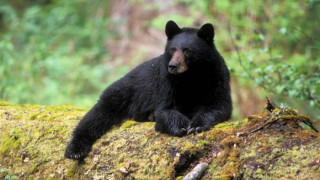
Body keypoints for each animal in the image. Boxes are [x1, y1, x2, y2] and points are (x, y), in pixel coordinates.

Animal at [65, 20, 231, 160]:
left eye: (187, 50)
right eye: (172, 49)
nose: (173, 66)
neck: (191, 77)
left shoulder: (217, 77)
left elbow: (218, 106)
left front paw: (197, 125)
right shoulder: (166, 82)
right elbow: (165, 109)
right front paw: (181, 126)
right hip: (120, 94)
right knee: (96, 116)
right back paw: (75, 150)